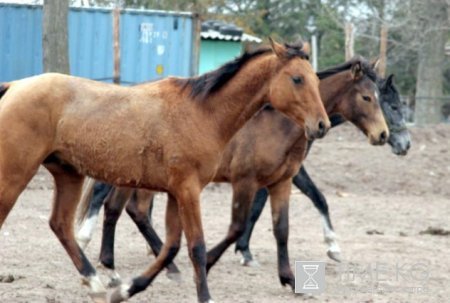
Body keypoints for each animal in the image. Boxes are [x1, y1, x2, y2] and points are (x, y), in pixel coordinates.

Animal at [0, 39, 330, 302]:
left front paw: (127, 289)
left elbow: (171, 247)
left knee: (60, 224)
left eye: (316, 80)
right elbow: (197, 246)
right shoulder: (189, 190)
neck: (202, 114)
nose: (321, 125)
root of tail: (14, 86)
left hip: (68, 173)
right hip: (15, 174)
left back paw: (96, 283)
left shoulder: (175, 193)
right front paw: (206, 296)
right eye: (297, 79)